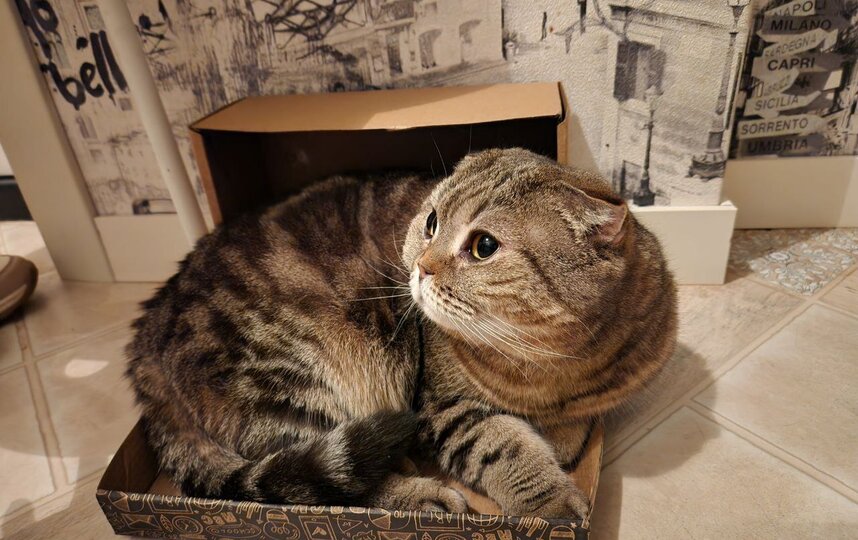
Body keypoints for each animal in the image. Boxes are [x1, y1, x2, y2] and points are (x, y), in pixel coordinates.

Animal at [126, 148, 677, 517]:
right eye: (430, 222)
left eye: (484, 246)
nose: (418, 267)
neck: (549, 365)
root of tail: (150, 327)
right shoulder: (440, 408)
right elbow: (503, 446)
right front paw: (551, 500)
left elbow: (575, 426)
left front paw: (561, 437)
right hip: (290, 381)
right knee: (326, 484)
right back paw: (423, 492)